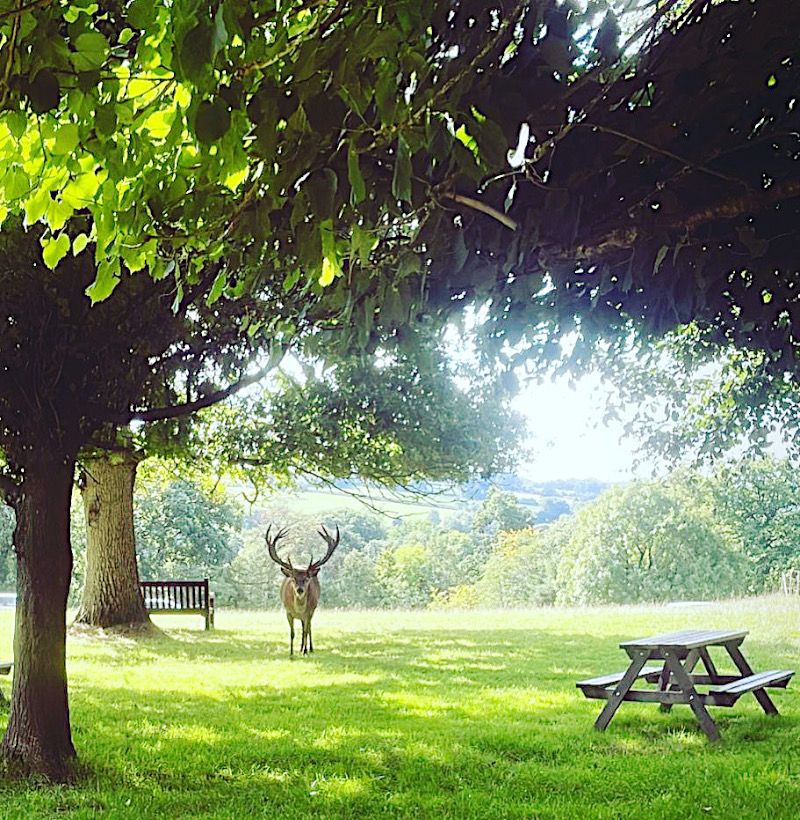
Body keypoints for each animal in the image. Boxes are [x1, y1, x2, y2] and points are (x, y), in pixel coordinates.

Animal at [266, 524, 340, 660]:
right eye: (293, 579)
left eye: (307, 579)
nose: (300, 590)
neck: (299, 609)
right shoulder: (288, 611)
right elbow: (292, 633)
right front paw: (291, 653)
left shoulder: (309, 612)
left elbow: (306, 631)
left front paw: (305, 651)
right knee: (302, 627)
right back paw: (300, 648)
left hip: (312, 610)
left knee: (308, 628)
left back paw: (309, 648)